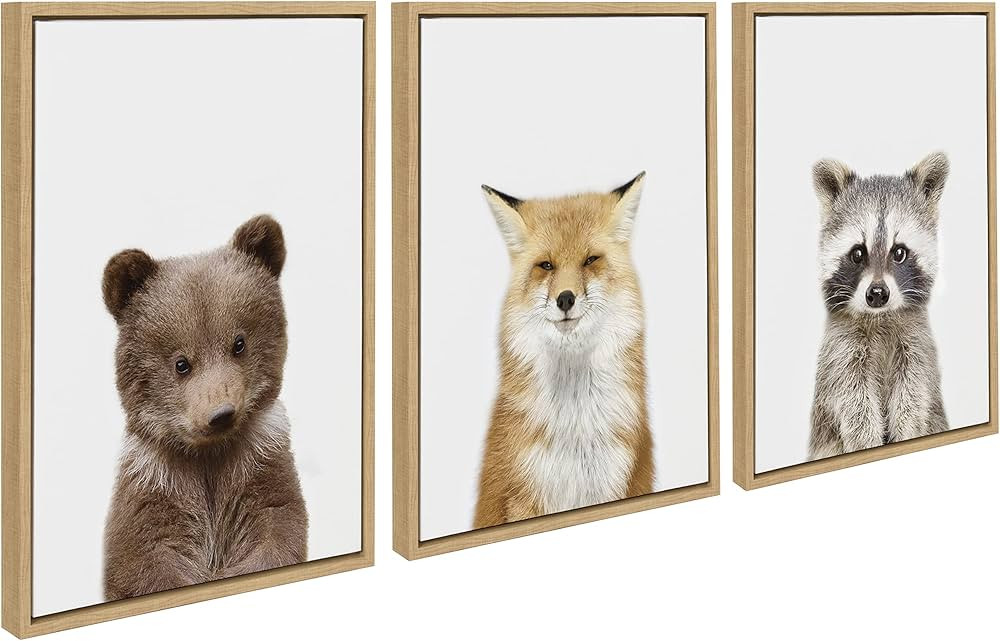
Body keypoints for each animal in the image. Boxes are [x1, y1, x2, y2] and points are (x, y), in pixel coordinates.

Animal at [101, 215, 308, 601]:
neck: (208, 456)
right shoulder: (154, 486)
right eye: (181, 363)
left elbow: (276, 529)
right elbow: (144, 561)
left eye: (239, 343)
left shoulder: (261, 465)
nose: (220, 414)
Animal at [472, 173, 654, 529]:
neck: (575, 429)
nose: (565, 298)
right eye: (546, 265)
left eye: (590, 260)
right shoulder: (524, 495)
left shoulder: (615, 483)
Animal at [808, 152, 950, 460]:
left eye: (899, 252)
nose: (877, 294)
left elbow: (913, 395)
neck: (880, 317)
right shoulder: (841, 351)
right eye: (857, 253)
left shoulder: (916, 344)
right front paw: (865, 442)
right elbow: (854, 402)